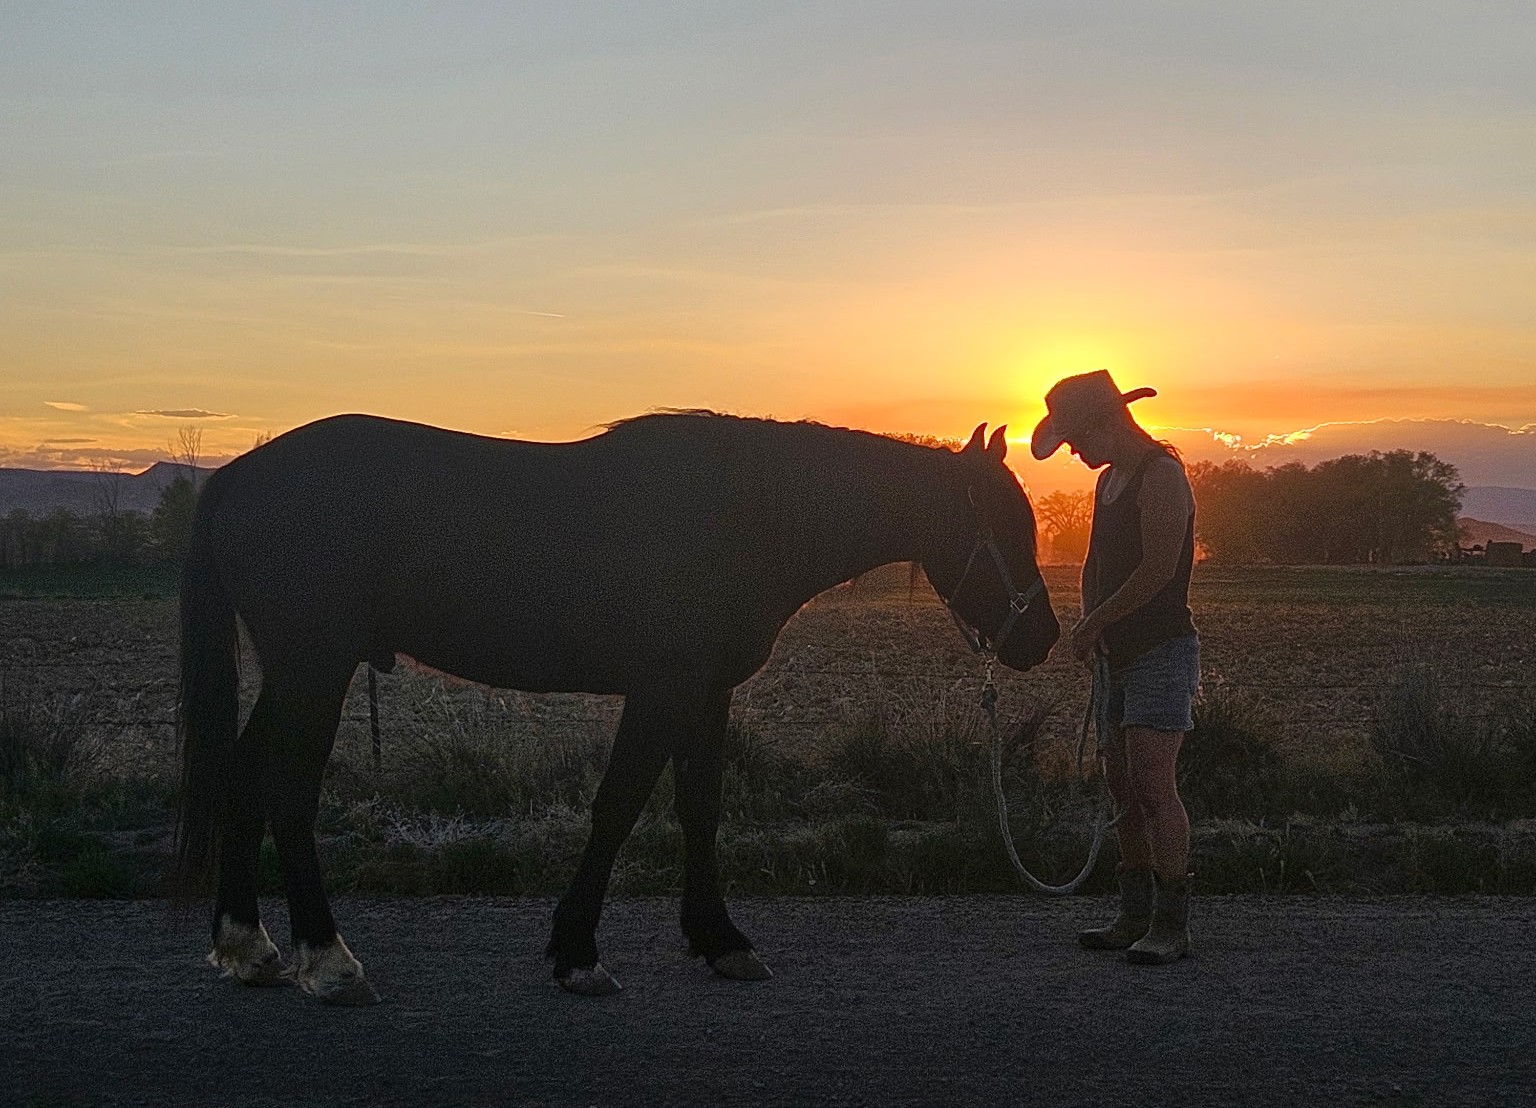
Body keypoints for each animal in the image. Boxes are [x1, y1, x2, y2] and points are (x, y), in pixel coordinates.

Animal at [175, 411, 1059, 1002]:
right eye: (1007, 525)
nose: (1044, 638)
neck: (745, 513)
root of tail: (241, 474)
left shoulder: (705, 692)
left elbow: (700, 808)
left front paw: (720, 940)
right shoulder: (662, 688)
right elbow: (620, 807)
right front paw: (577, 952)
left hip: (297, 675)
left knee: (243, 779)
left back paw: (248, 945)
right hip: (314, 672)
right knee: (288, 792)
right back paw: (328, 960)